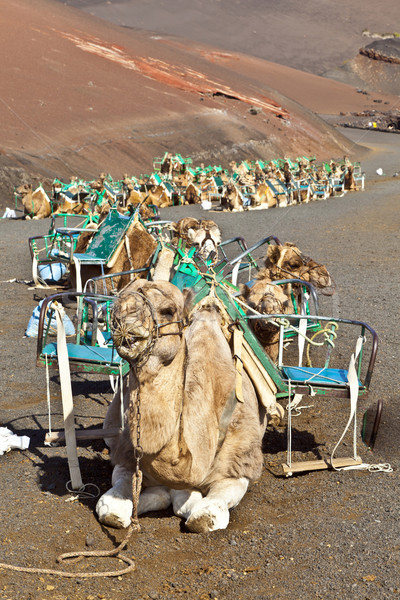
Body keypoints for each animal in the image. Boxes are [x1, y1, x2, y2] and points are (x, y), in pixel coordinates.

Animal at [95, 278, 274, 532]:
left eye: (168, 310)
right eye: (117, 301)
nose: (125, 312)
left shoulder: (240, 464)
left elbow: (205, 515)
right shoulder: (125, 455)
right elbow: (112, 507)